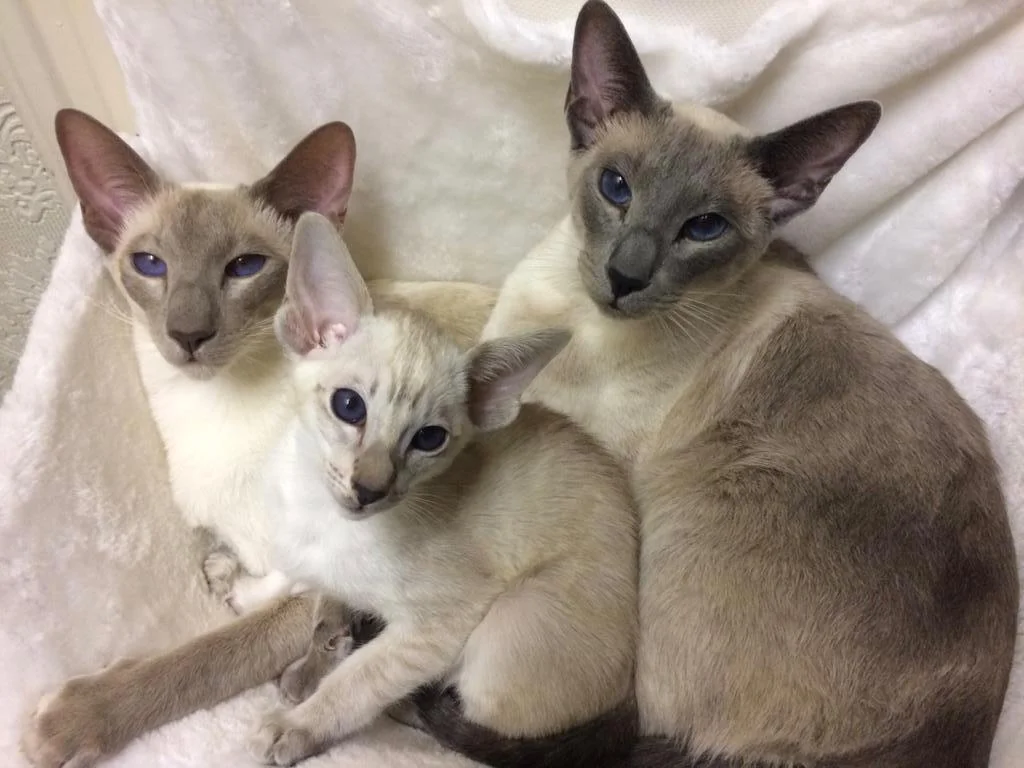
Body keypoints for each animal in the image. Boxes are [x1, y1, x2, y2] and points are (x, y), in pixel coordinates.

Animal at [18, 108, 491, 768]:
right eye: (150, 264)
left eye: (244, 267)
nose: (188, 334)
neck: (212, 407)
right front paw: (225, 575)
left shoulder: (342, 568)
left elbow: (207, 659)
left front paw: (72, 720)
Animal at [245, 211, 638, 768]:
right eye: (349, 406)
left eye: (429, 439)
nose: (370, 489)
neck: (324, 521)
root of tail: (630, 697)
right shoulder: (300, 543)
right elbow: (299, 586)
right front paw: (253, 598)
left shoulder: (436, 628)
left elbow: (358, 683)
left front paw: (296, 726)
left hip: (500, 634)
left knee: (471, 716)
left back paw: (408, 706)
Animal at [409, 1, 1015, 768]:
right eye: (616, 188)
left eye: (704, 228)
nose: (625, 277)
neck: (576, 321)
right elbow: (432, 304)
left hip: (681, 525)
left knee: (616, 721)